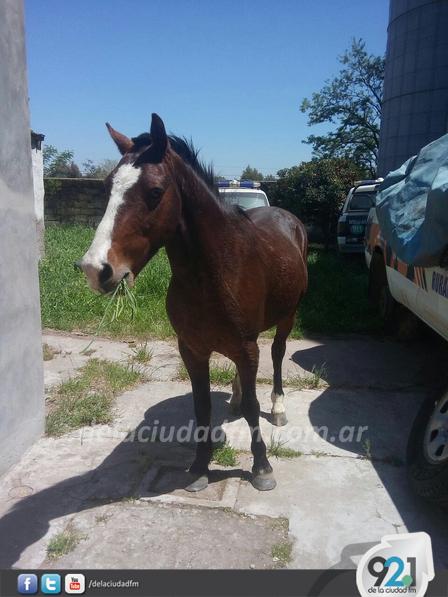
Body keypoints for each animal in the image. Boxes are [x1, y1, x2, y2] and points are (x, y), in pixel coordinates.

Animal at [78, 113, 308, 492]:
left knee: (276, 355)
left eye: (155, 192)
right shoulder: (192, 349)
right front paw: (200, 466)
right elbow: (202, 408)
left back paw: (278, 408)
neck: (216, 270)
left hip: (286, 317)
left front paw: (262, 468)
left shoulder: (246, 346)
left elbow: (253, 406)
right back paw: (234, 398)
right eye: (108, 187)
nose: (96, 269)